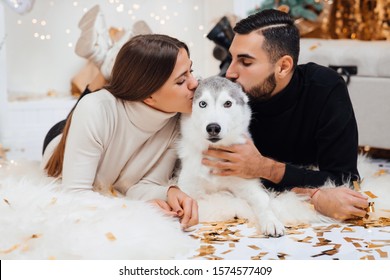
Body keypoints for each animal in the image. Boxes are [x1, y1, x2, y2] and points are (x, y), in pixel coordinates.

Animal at [178, 76, 284, 236]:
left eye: (227, 103)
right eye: (203, 104)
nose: (213, 127)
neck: (214, 158)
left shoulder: (248, 184)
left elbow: (263, 201)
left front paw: (271, 221)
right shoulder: (187, 187)